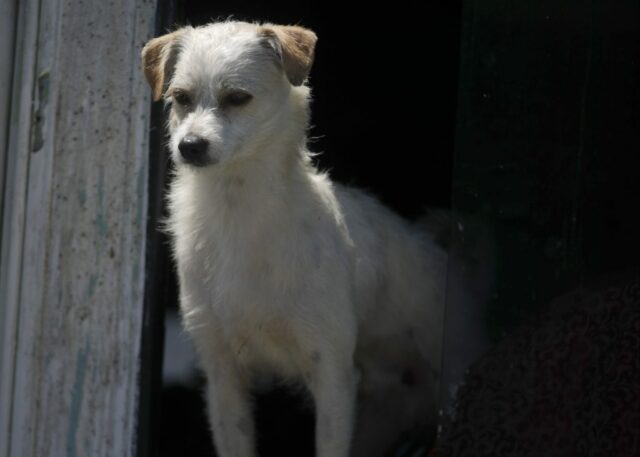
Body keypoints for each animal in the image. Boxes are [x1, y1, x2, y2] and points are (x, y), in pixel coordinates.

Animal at [140, 19, 450, 454]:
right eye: (180, 98)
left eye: (237, 98)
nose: (189, 146)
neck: (238, 207)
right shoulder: (223, 377)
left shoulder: (333, 373)